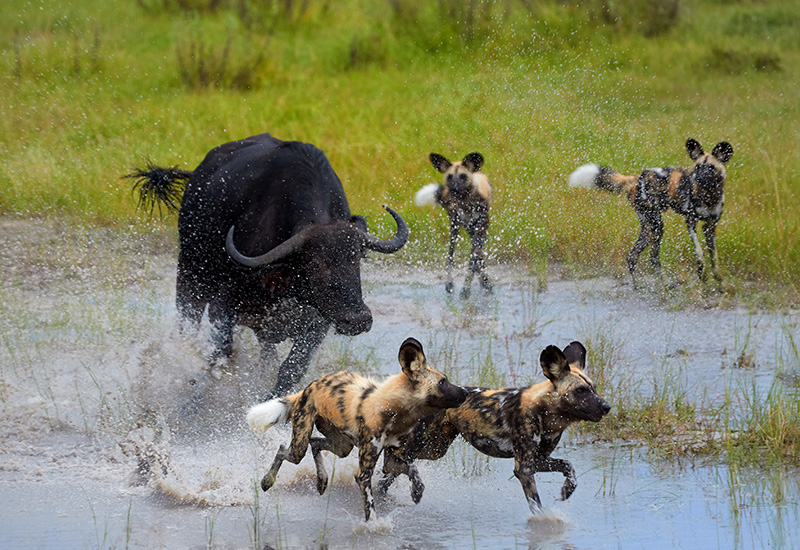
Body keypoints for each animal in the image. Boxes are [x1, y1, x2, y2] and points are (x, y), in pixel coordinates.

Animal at [130, 134, 410, 402]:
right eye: (314, 263)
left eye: (357, 257)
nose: (357, 319)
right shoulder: (223, 305)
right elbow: (221, 356)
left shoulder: (318, 322)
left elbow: (290, 368)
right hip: (190, 276)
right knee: (187, 329)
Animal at [247, 338, 466, 524]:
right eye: (443, 382)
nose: (465, 391)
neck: (393, 411)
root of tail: (309, 387)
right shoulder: (364, 473)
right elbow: (370, 505)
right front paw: (374, 528)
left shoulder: (392, 461)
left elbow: (415, 473)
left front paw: (416, 493)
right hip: (299, 447)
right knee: (284, 448)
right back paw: (267, 481)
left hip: (343, 446)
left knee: (315, 443)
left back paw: (321, 481)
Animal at [378, 342, 608, 516]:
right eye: (580, 391)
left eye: (594, 389)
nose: (607, 407)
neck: (545, 412)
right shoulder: (524, 468)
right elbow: (536, 504)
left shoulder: (539, 460)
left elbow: (568, 465)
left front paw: (568, 489)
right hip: (421, 445)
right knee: (394, 462)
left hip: (434, 449)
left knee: (391, 470)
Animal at [416, 152, 490, 298]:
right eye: (449, 177)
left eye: (463, 176)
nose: (454, 189)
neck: (465, 201)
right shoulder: (458, 224)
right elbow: (464, 259)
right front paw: (461, 289)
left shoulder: (480, 230)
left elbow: (474, 261)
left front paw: (468, 289)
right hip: (456, 229)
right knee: (451, 256)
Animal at [568, 138, 732, 286]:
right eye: (697, 167)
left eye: (711, 168)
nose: (696, 178)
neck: (709, 196)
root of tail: (635, 178)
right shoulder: (690, 222)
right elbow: (699, 252)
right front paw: (702, 276)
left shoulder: (710, 227)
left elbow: (714, 257)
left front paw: (719, 280)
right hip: (657, 225)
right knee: (652, 257)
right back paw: (664, 285)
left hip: (648, 228)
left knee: (632, 256)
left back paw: (638, 287)